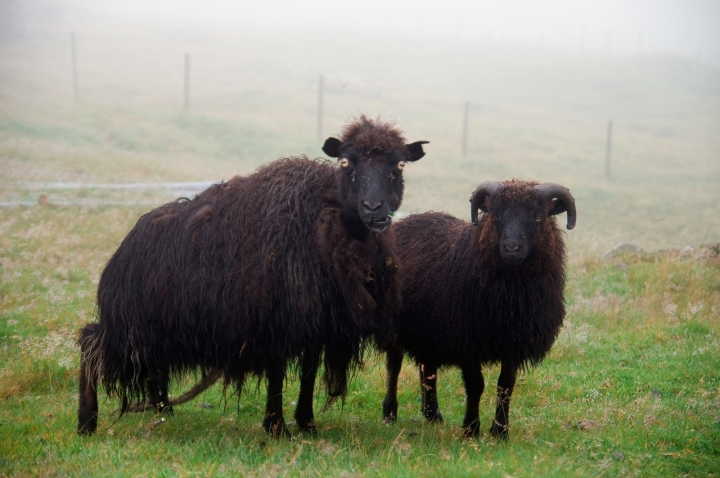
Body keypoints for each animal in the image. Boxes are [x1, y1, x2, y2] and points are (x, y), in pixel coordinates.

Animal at [79, 116, 428, 436]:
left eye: (399, 164)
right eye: (345, 161)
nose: (374, 208)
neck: (327, 217)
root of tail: (127, 243)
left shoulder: (316, 320)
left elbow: (309, 372)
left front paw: (306, 423)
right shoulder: (275, 318)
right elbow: (277, 374)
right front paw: (275, 426)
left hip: (154, 328)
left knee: (145, 363)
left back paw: (161, 407)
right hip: (130, 323)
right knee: (89, 344)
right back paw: (86, 421)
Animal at [382, 178, 580, 436]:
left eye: (538, 217)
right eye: (495, 215)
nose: (512, 249)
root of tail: (406, 221)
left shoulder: (513, 342)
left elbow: (506, 386)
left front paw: (500, 431)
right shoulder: (466, 340)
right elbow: (476, 385)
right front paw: (471, 429)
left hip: (430, 328)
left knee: (428, 368)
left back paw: (433, 415)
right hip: (397, 327)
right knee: (394, 366)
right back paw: (390, 413)